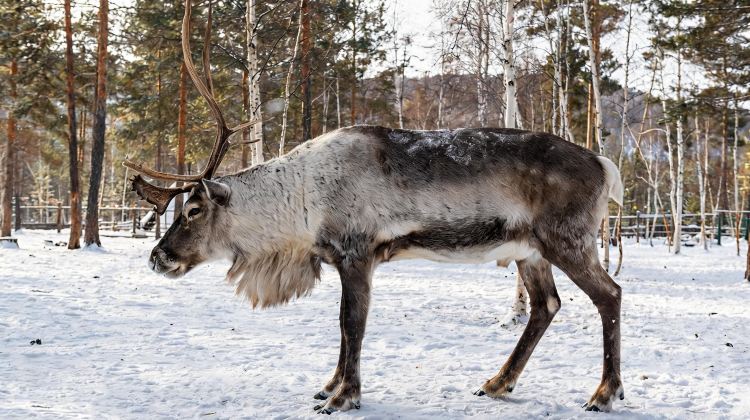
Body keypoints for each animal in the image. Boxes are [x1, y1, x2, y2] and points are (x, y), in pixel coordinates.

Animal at [125, 0, 625, 414]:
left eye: (192, 210)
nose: (157, 256)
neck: (301, 206)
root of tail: (604, 165)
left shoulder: (357, 252)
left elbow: (352, 324)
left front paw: (344, 396)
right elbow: (342, 326)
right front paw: (329, 386)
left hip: (568, 240)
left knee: (609, 294)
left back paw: (603, 393)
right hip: (530, 250)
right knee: (546, 305)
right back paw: (497, 383)